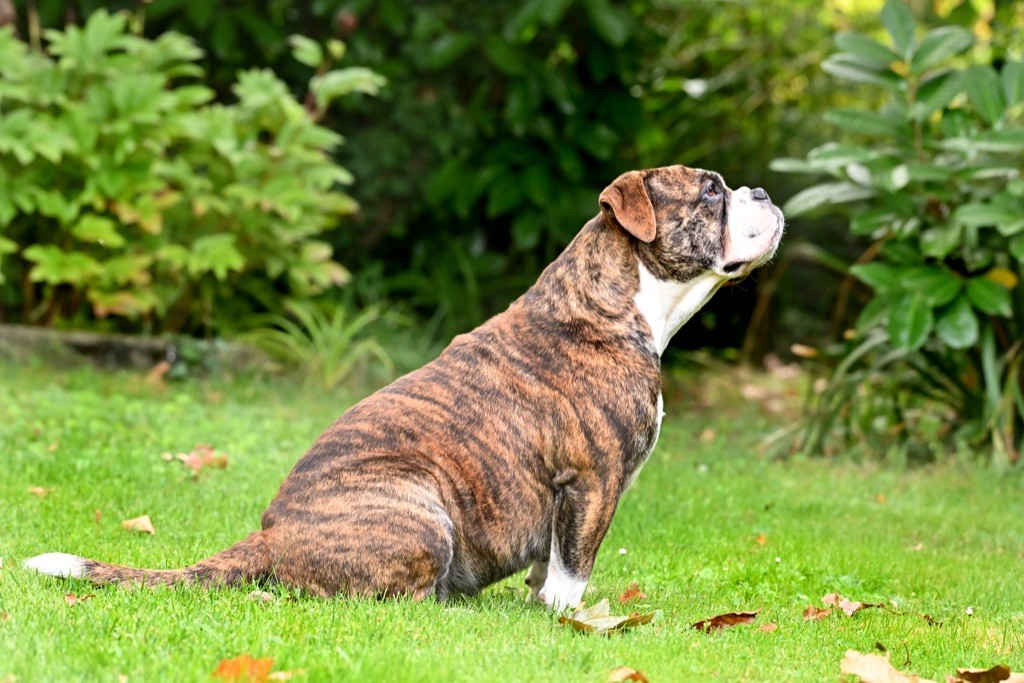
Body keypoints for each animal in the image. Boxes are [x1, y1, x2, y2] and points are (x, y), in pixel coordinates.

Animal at [24, 163, 778, 610]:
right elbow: (573, 563)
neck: (621, 302)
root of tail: (269, 536)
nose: (764, 194)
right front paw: (568, 618)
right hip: (422, 509)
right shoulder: (591, 481)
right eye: (710, 191)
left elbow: (552, 559)